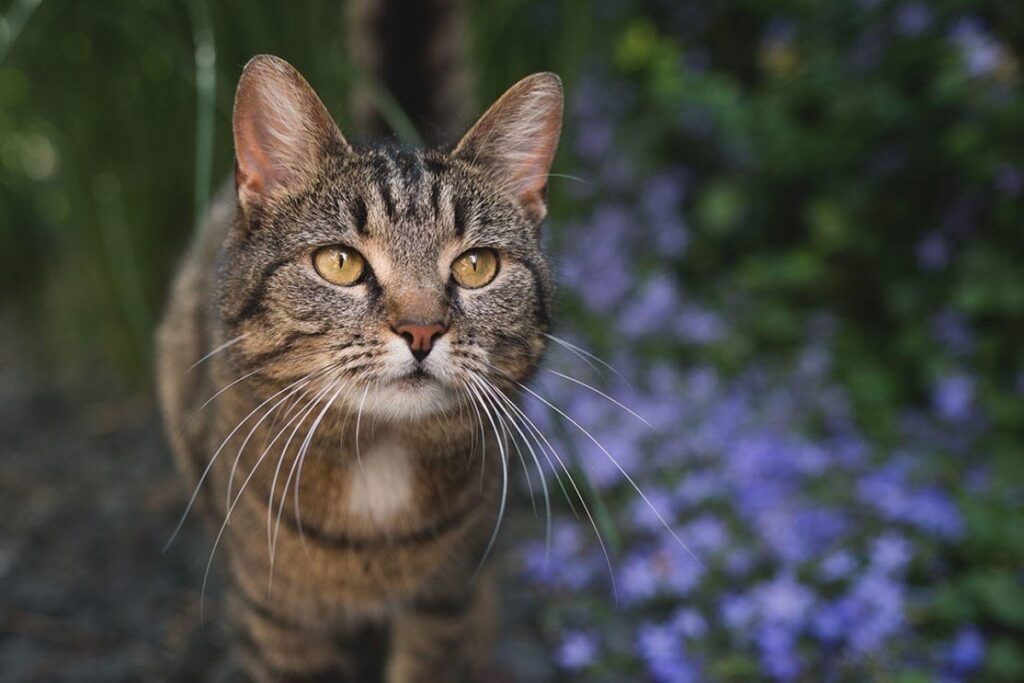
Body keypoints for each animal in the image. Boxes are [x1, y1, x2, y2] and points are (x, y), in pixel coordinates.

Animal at [155, 9, 565, 683]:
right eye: (340, 262)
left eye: (476, 266)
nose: (422, 330)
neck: (379, 468)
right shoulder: (279, 620)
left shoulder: (446, 602)